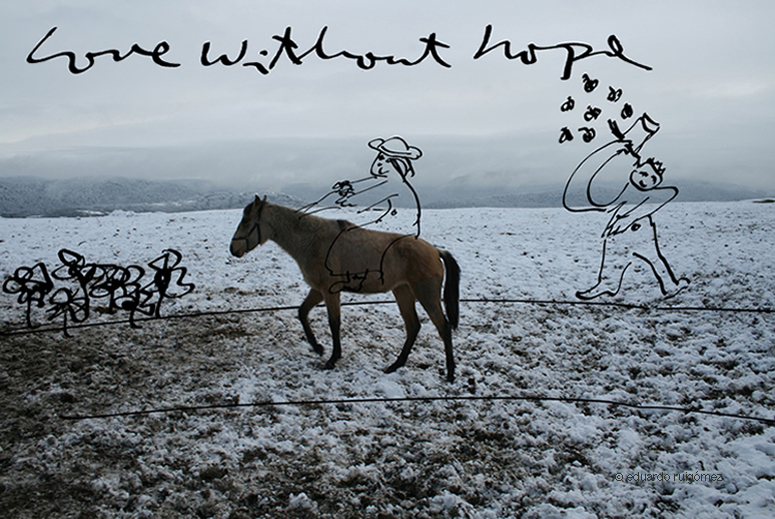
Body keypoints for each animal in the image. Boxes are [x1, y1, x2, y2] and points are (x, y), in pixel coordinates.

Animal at [230, 195, 460, 382]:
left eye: (246, 221)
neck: (313, 240)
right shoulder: (318, 290)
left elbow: (334, 323)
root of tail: (435, 250)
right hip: (403, 292)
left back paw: (449, 373)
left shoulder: (329, 291)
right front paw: (318, 348)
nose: (233, 249)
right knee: (413, 327)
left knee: (443, 328)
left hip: (426, 295)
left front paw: (332, 359)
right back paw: (395, 365)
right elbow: (302, 313)